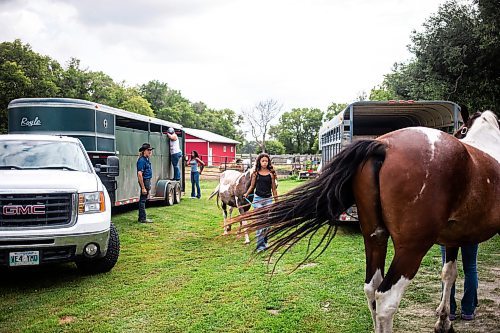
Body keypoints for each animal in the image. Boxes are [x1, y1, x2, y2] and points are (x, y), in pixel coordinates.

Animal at [232, 110, 498, 330]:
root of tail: (383, 145)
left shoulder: (453, 239)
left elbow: (449, 273)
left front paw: (443, 321)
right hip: (411, 248)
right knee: (386, 300)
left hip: (375, 238)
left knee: (372, 290)